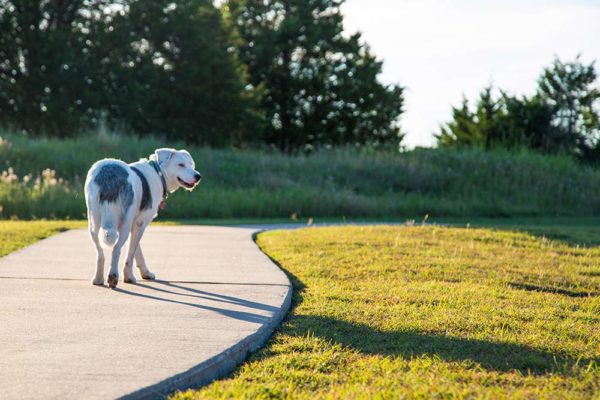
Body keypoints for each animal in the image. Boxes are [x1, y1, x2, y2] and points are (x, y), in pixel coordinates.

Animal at [84, 147, 202, 288]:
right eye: (181, 165)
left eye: (192, 165)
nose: (198, 176)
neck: (158, 173)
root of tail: (109, 175)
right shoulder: (140, 223)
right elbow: (131, 253)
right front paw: (129, 277)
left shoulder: (134, 225)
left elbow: (136, 251)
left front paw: (145, 273)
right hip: (124, 223)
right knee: (116, 250)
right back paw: (113, 276)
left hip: (93, 222)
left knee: (100, 252)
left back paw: (98, 279)